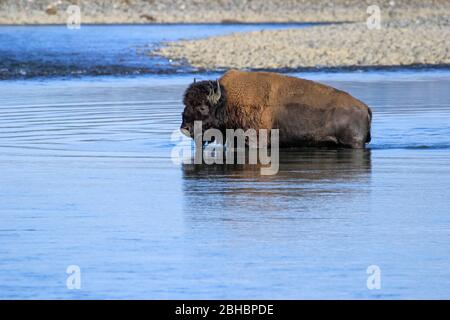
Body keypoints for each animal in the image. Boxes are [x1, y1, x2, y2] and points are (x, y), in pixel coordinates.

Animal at [180, 69, 372, 148]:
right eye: (185, 104)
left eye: (203, 107)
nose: (184, 128)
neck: (228, 101)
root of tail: (365, 107)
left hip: (354, 143)